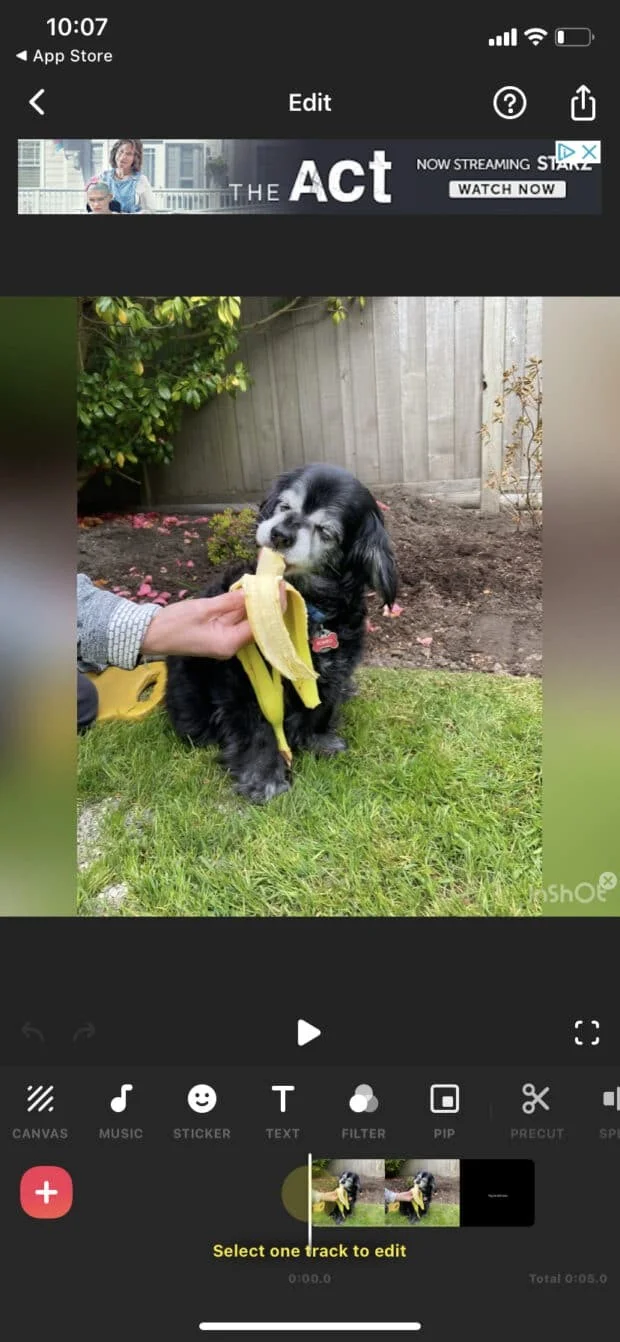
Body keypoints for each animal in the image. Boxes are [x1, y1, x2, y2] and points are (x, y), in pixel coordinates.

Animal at [165, 464, 398, 804]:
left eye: (325, 531)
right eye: (285, 507)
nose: (279, 534)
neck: (308, 606)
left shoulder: (332, 671)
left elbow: (321, 708)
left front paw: (317, 740)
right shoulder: (244, 682)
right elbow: (258, 729)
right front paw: (264, 779)